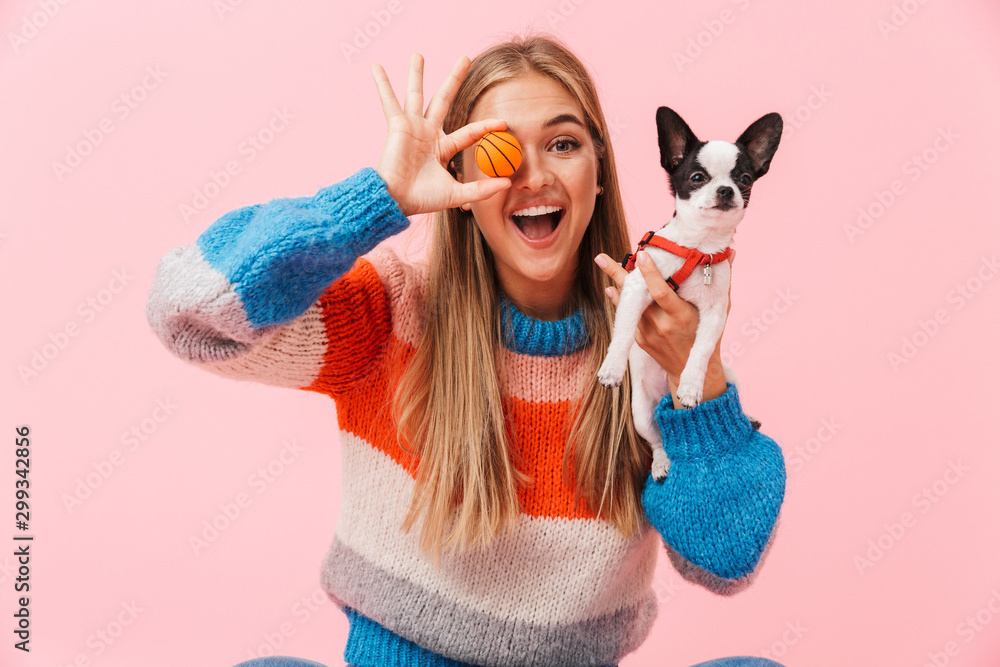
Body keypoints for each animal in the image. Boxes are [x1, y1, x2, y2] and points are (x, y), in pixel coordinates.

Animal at [596, 105, 784, 480]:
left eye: (744, 180)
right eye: (697, 177)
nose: (726, 190)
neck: (700, 249)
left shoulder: (715, 313)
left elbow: (699, 350)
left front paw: (691, 386)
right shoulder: (637, 287)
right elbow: (623, 331)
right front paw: (612, 366)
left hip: (728, 375)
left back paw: (747, 417)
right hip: (641, 413)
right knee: (658, 441)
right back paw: (661, 463)